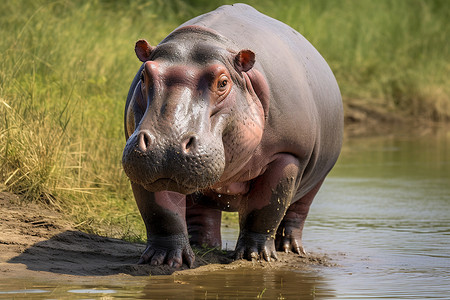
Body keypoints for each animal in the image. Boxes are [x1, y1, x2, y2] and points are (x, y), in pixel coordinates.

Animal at [121, 4, 342, 268]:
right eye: (144, 75)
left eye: (223, 82)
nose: (166, 145)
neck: (203, 41)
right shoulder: (146, 166)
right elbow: (162, 213)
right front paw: (162, 260)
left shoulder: (287, 154)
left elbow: (265, 209)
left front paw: (255, 256)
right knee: (201, 211)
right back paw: (201, 245)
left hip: (316, 178)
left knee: (297, 212)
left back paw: (291, 249)